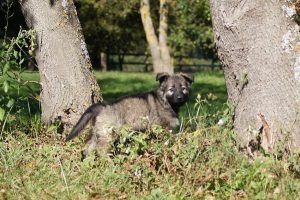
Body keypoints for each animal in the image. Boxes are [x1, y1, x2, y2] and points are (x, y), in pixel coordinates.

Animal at [65, 72, 193, 158]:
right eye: (171, 89)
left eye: (183, 89)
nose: (180, 98)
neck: (164, 100)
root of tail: (103, 106)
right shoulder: (161, 128)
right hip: (109, 133)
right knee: (101, 149)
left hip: (98, 131)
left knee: (89, 146)